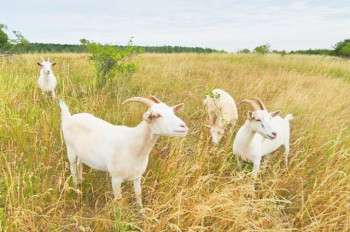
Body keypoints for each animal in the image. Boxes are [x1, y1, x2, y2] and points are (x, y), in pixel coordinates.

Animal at [59, 95, 189, 208]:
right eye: (157, 115)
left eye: (172, 112)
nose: (183, 126)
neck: (132, 146)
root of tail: (69, 117)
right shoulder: (116, 178)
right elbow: (119, 200)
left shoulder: (137, 176)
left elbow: (138, 195)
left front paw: (141, 212)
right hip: (70, 148)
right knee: (72, 166)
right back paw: (76, 185)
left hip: (82, 152)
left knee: (80, 163)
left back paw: (81, 180)